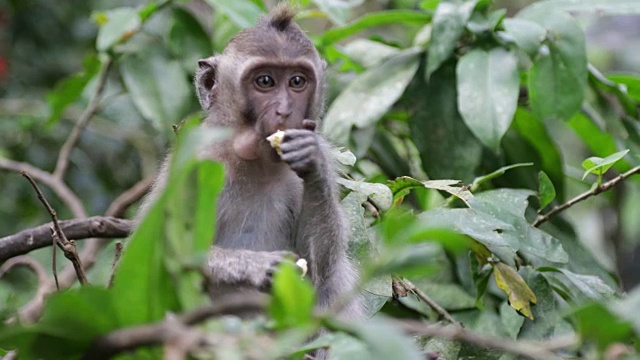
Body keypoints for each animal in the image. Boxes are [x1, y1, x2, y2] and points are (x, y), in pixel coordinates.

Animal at [138, 4, 362, 320]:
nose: (284, 111)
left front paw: (312, 161)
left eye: (297, 81)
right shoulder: (192, 162)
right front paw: (257, 266)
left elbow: (319, 269)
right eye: (265, 81)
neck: (253, 160)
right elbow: (158, 257)